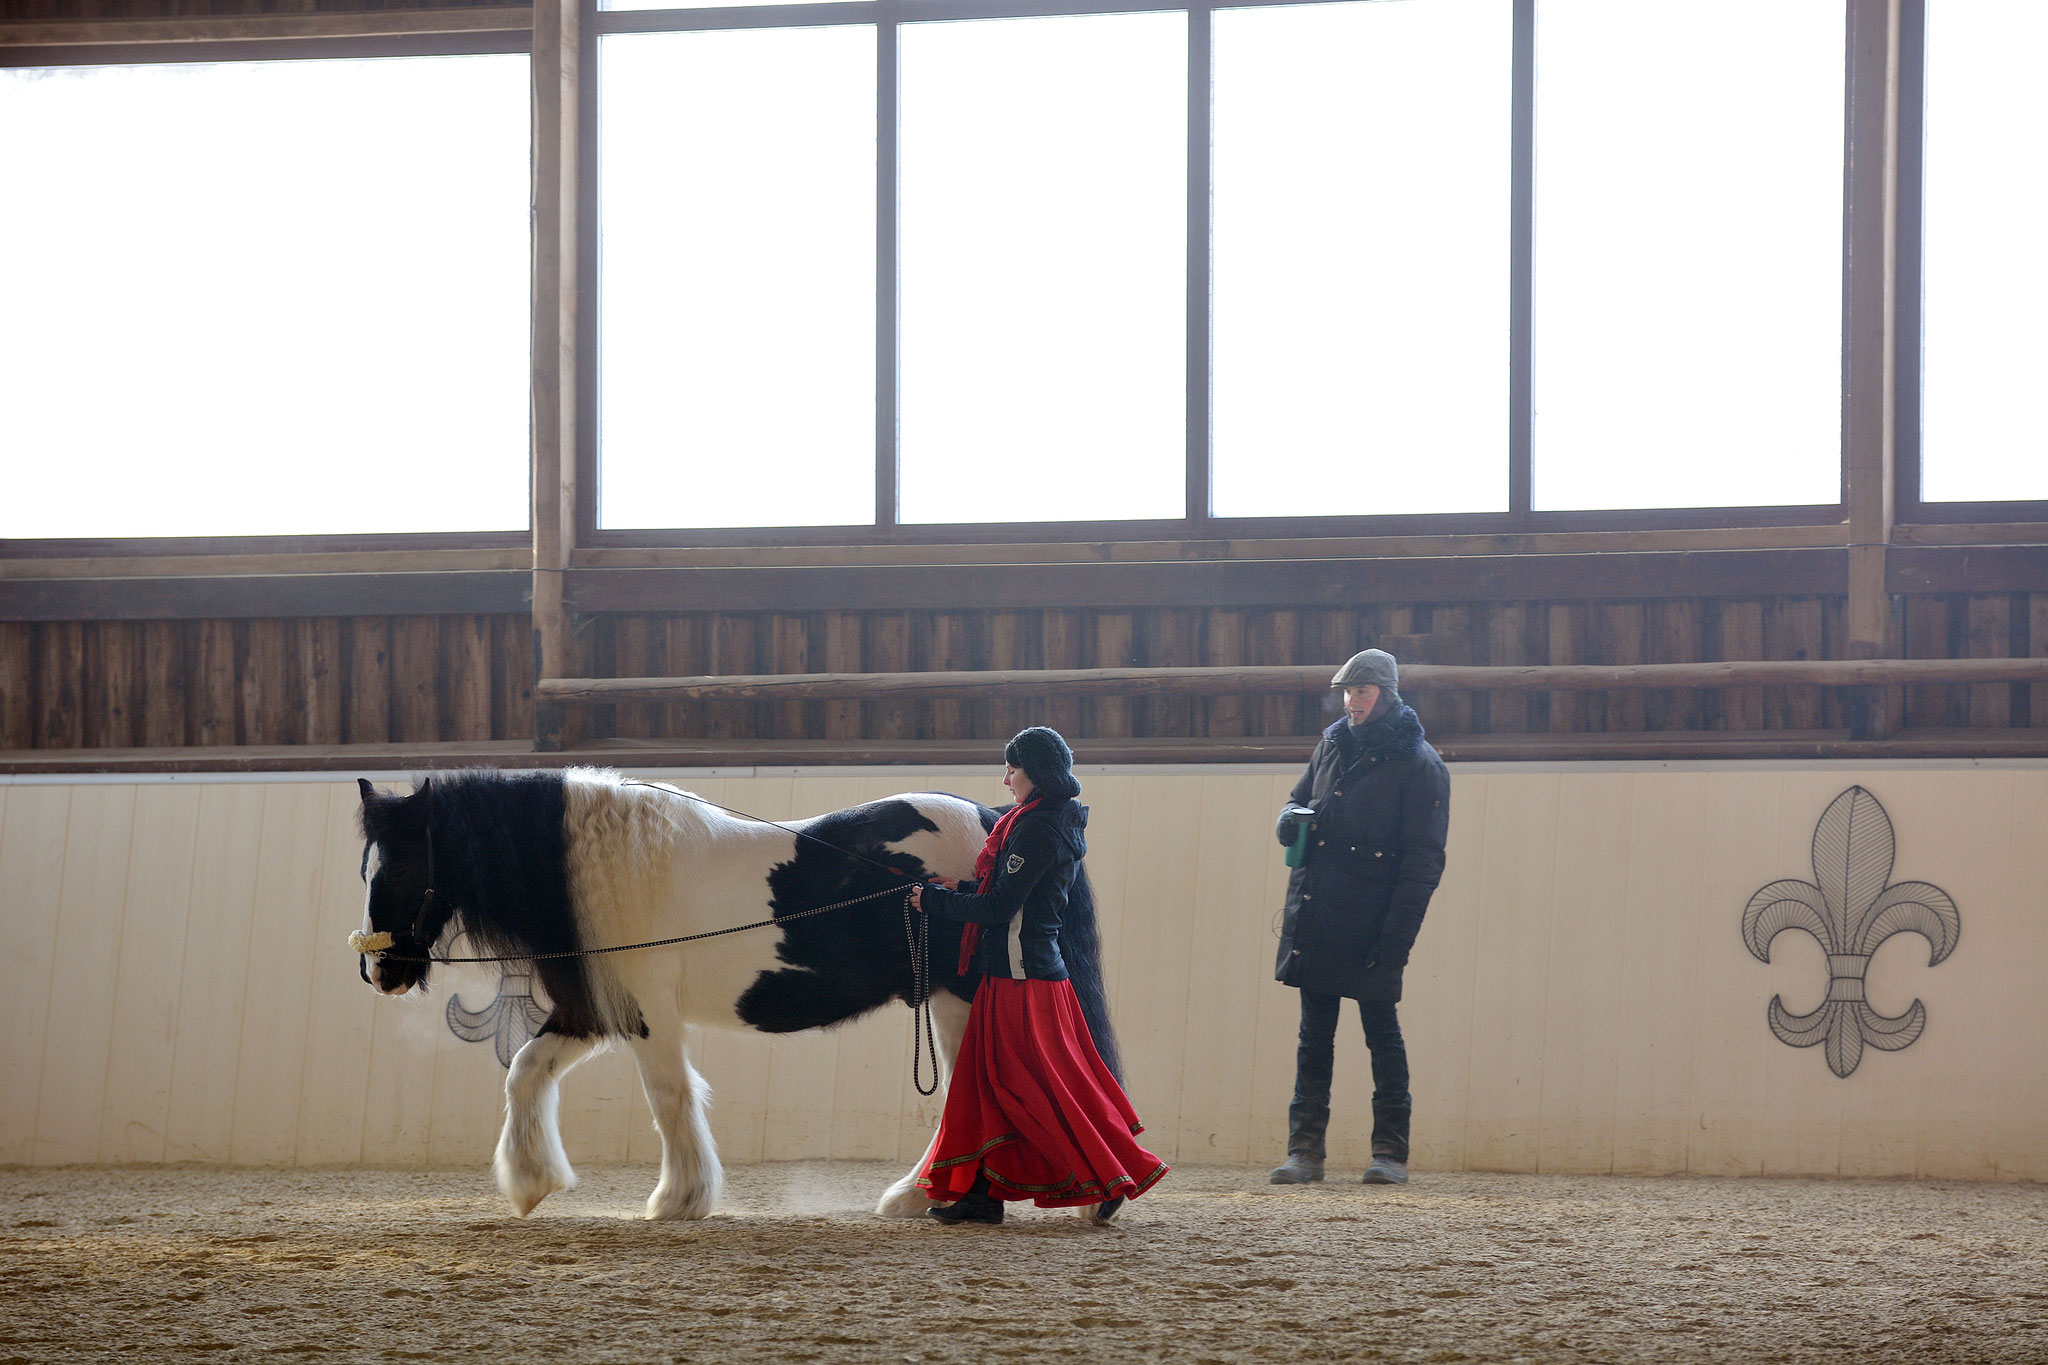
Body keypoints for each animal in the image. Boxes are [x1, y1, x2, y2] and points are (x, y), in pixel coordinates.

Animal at [352, 769, 1122, 1227]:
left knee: (975, 1086)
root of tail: (993, 818)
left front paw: (680, 1199)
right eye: (369, 865)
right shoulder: (595, 1010)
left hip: (963, 997)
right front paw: (531, 1182)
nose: (379, 972)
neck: (597, 871)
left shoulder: (647, 1015)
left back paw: (934, 1197)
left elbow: (670, 1097)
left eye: (404, 863)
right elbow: (524, 1071)